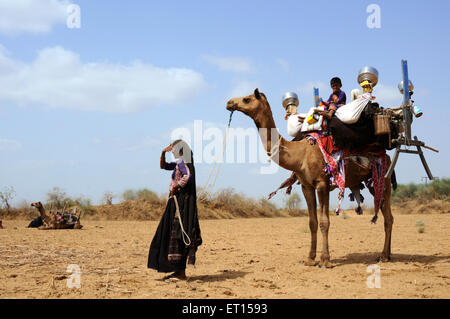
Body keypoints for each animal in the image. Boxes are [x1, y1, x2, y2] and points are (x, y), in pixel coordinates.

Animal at [227, 88, 392, 268]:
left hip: (382, 178)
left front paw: (325, 260)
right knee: (388, 216)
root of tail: (387, 155)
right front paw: (310, 258)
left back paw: (384, 256)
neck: (299, 154)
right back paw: (388, 254)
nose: (229, 103)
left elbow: (324, 222)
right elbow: (312, 222)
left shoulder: (322, 183)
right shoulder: (306, 186)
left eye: (246, 99)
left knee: (388, 217)